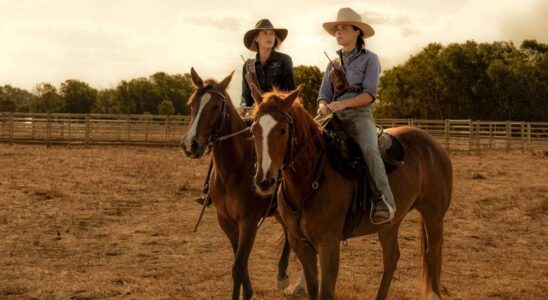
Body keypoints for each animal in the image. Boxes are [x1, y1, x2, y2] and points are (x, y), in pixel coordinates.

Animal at [181, 68, 296, 300]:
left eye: (216, 106)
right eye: (191, 104)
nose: (190, 144)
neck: (234, 170)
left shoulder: (249, 221)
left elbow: (238, 267)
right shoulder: (226, 221)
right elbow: (238, 261)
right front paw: (248, 292)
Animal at [248, 85, 454, 300]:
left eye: (283, 130)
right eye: (253, 130)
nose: (264, 181)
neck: (312, 176)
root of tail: (432, 143)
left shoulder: (329, 244)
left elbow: (325, 291)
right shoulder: (300, 243)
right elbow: (313, 287)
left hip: (434, 217)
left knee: (433, 255)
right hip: (390, 224)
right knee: (391, 259)